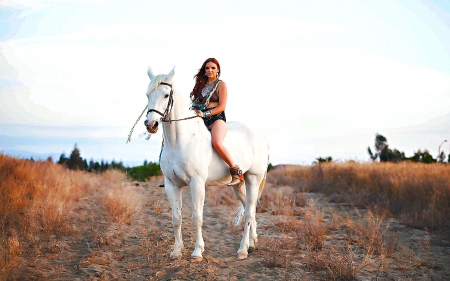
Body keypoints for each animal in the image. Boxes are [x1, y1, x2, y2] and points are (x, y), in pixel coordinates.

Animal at [144, 65, 268, 260]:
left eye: (165, 95)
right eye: (147, 95)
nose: (151, 125)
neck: (180, 140)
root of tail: (259, 135)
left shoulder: (197, 183)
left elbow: (197, 217)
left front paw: (197, 252)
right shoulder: (172, 185)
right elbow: (176, 218)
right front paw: (176, 251)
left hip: (253, 179)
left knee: (248, 213)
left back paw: (242, 250)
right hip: (239, 184)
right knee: (251, 209)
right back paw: (252, 244)